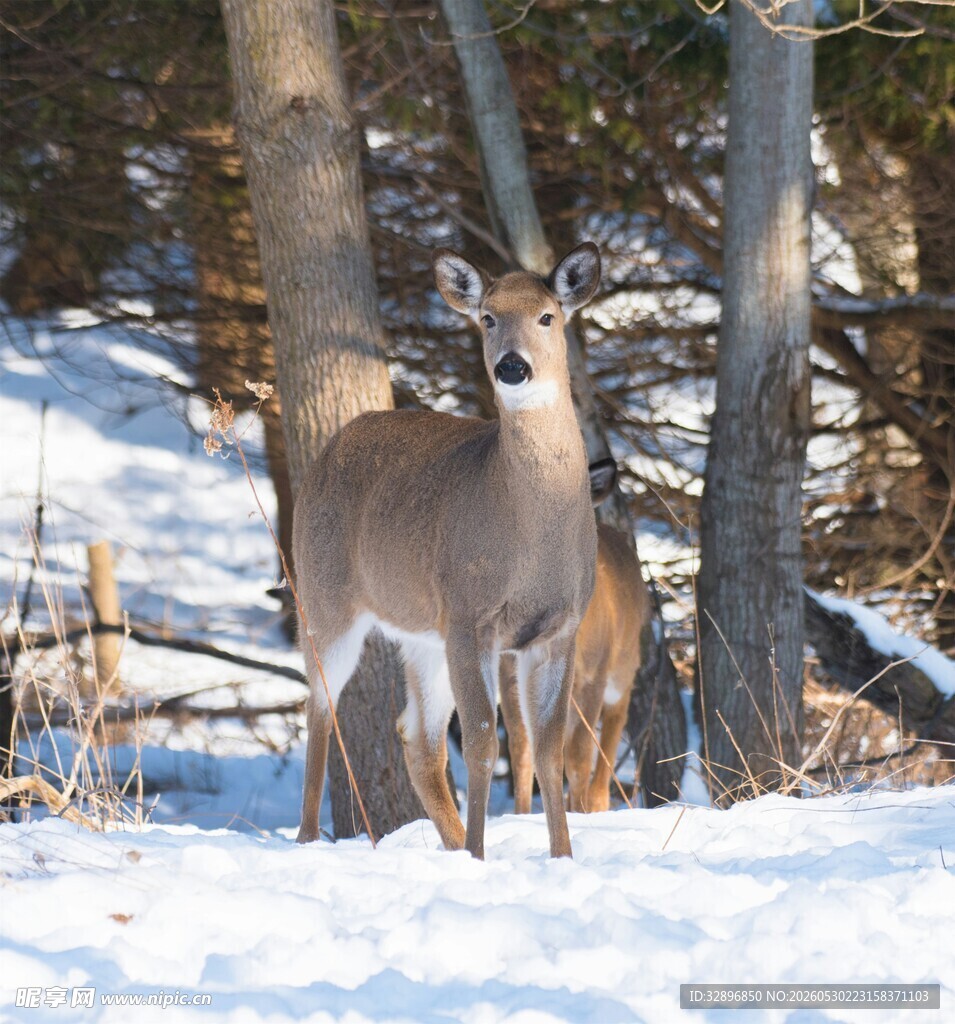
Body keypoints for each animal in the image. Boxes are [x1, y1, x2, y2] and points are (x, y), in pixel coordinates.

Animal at [292, 243, 603, 859]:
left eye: (547, 316)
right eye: (487, 318)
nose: (512, 366)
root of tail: (329, 448)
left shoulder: (560, 628)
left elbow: (548, 747)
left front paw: (561, 856)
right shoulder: (468, 614)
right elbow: (484, 742)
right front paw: (482, 857)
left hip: (421, 634)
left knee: (416, 735)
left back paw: (453, 844)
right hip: (323, 597)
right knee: (320, 707)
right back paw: (309, 838)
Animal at [500, 458, 650, 814]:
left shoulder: (593, 675)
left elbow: (581, 755)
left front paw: (580, 813)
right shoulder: (508, 674)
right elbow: (521, 750)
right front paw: (521, 816)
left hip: (621, 668)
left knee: (612, 731)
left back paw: (594, 804)